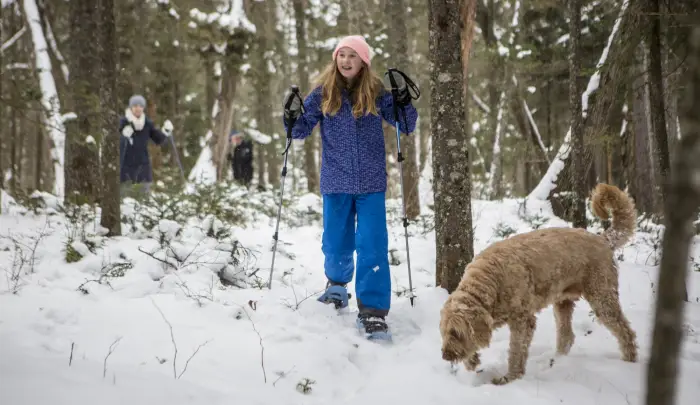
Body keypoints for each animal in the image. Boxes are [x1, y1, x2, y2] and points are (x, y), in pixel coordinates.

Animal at [440, 185, 636, 384]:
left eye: (456, 333)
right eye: (445, 332)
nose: (446, 356)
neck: (491, 282)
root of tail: (602, 239)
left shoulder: (523, 320)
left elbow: (516, 351)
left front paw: (510, 378)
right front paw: (471, 362)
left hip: (602, 298)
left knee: (625, 331)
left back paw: (629, 360)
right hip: (563, 303)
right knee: (567, 336)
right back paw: (557, 361)